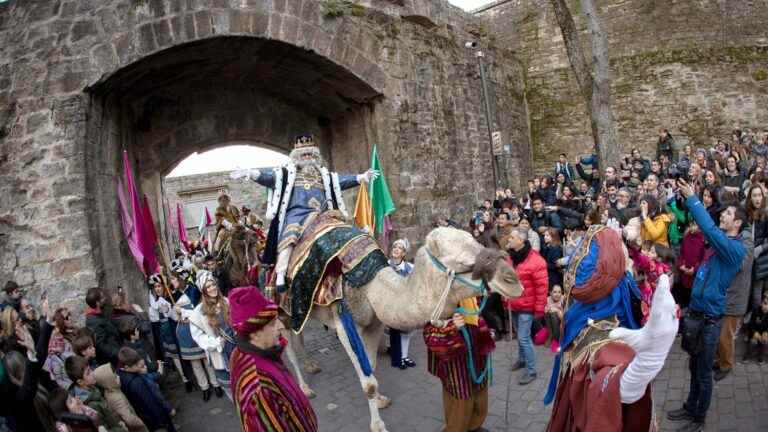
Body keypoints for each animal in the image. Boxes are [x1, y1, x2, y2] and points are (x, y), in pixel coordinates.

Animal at [280, 226, 524, 432]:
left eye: (478, 243)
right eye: (462, 261)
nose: (513, 280)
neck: (370, 285)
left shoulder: (374, 323)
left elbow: (371, 367)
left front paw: (380, 400)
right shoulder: (345, 323)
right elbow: (368, 382)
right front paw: (378, 425)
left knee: (299, 333)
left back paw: (311, 365)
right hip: (280, 309)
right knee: (289, 349)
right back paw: (305, 388)